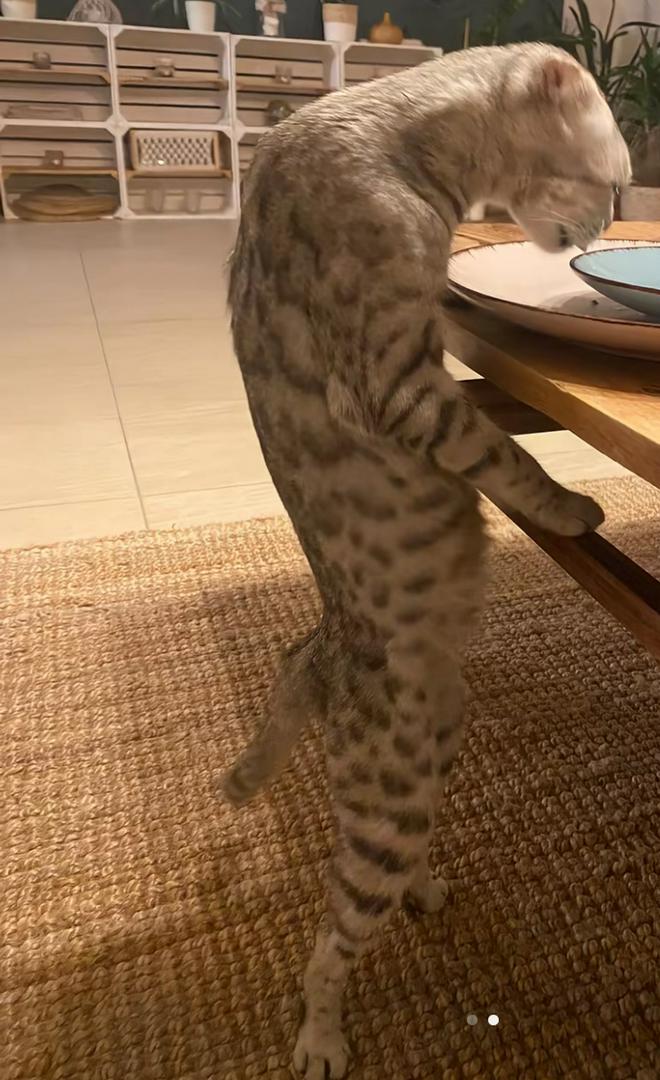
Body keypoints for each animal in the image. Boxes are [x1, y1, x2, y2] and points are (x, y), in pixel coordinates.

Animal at [221, 43, 631, 1079]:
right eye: (615, 185)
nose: (606, 230)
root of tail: (320, 648)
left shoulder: (423, 375)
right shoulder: (404, 387)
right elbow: (511, 460)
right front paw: (575, 510)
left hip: (436, 746)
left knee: (370, 875)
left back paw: (423, 888)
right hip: (395, 791)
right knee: (330, 941)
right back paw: (322, 1037)